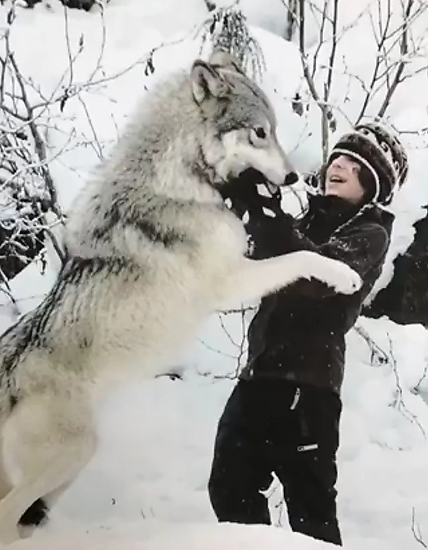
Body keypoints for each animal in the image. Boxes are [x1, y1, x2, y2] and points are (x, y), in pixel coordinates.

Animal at [0, 50, 362, 544]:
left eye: (273, 129)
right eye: (260, 132)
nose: (292, 176)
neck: (185, 183)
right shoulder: (228, 282)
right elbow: (301, 258)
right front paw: (345, 275)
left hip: (62, 474)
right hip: (72, 453)